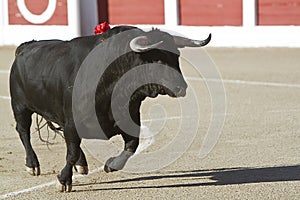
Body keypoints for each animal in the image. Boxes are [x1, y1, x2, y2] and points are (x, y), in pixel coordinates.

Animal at [9, 25, 211, 191]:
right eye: (158, 60)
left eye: (176, 56)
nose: (181, 88)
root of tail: (25, 47)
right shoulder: (72, 123)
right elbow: (71, 153)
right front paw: (64, 181)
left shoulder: (128, 118)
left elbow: (131, 146)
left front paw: (110, 165)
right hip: (20, 107)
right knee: (23, 131)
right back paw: (32, 164)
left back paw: (81, 164)